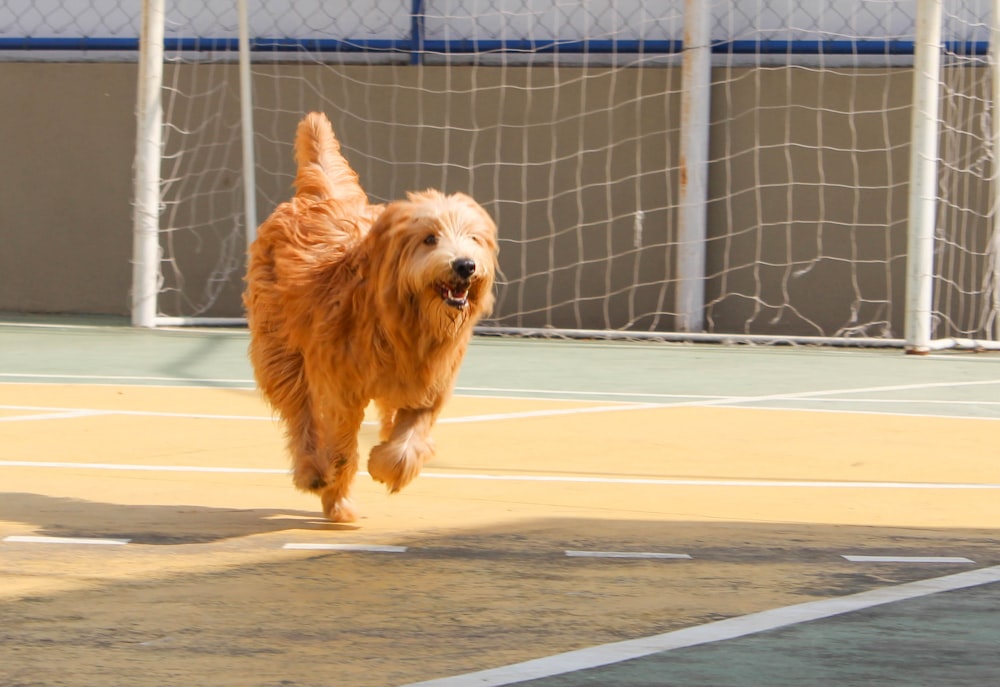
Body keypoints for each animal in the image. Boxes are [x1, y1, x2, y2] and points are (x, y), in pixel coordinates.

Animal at [243, 111, 500, 520]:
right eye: (429, 238)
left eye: (474, 238)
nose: (465, 265)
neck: (405, 319)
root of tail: (321, 195)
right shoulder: (339, 387)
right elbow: (341, 442)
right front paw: (337, 495)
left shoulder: (429, 382)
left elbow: (410, 435)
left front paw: (388, 466)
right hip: (280, 351)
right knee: (300, 414)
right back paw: (312, 470)